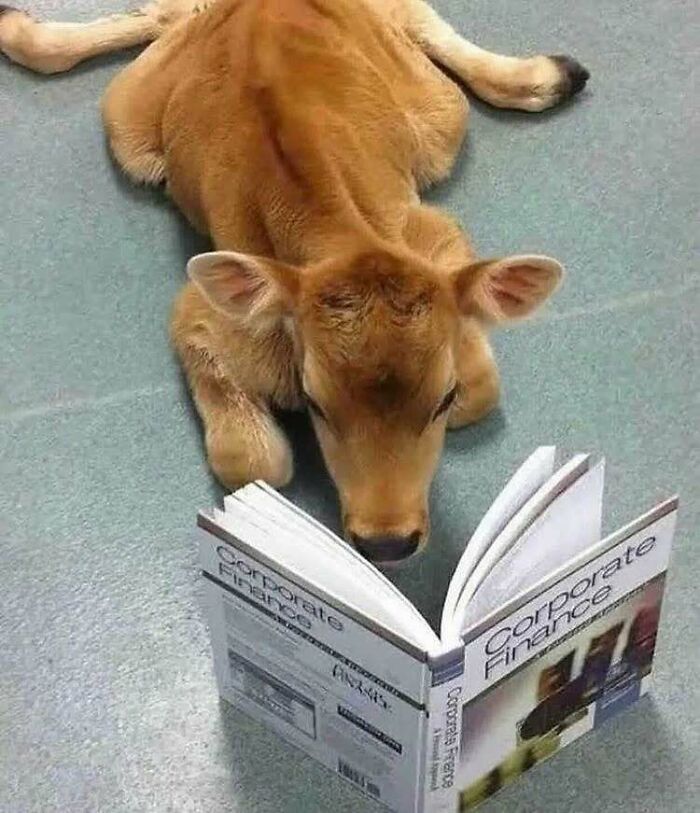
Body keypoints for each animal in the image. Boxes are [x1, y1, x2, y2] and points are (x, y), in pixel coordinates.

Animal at [0, 0, 588, 563]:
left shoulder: (435, 232)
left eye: (442, 400)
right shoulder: (198, 309)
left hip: (437, 115)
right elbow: (253, 463)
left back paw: (545, 77)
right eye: (315, 403)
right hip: (129, 124)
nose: (387, 542)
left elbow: (481, 389)